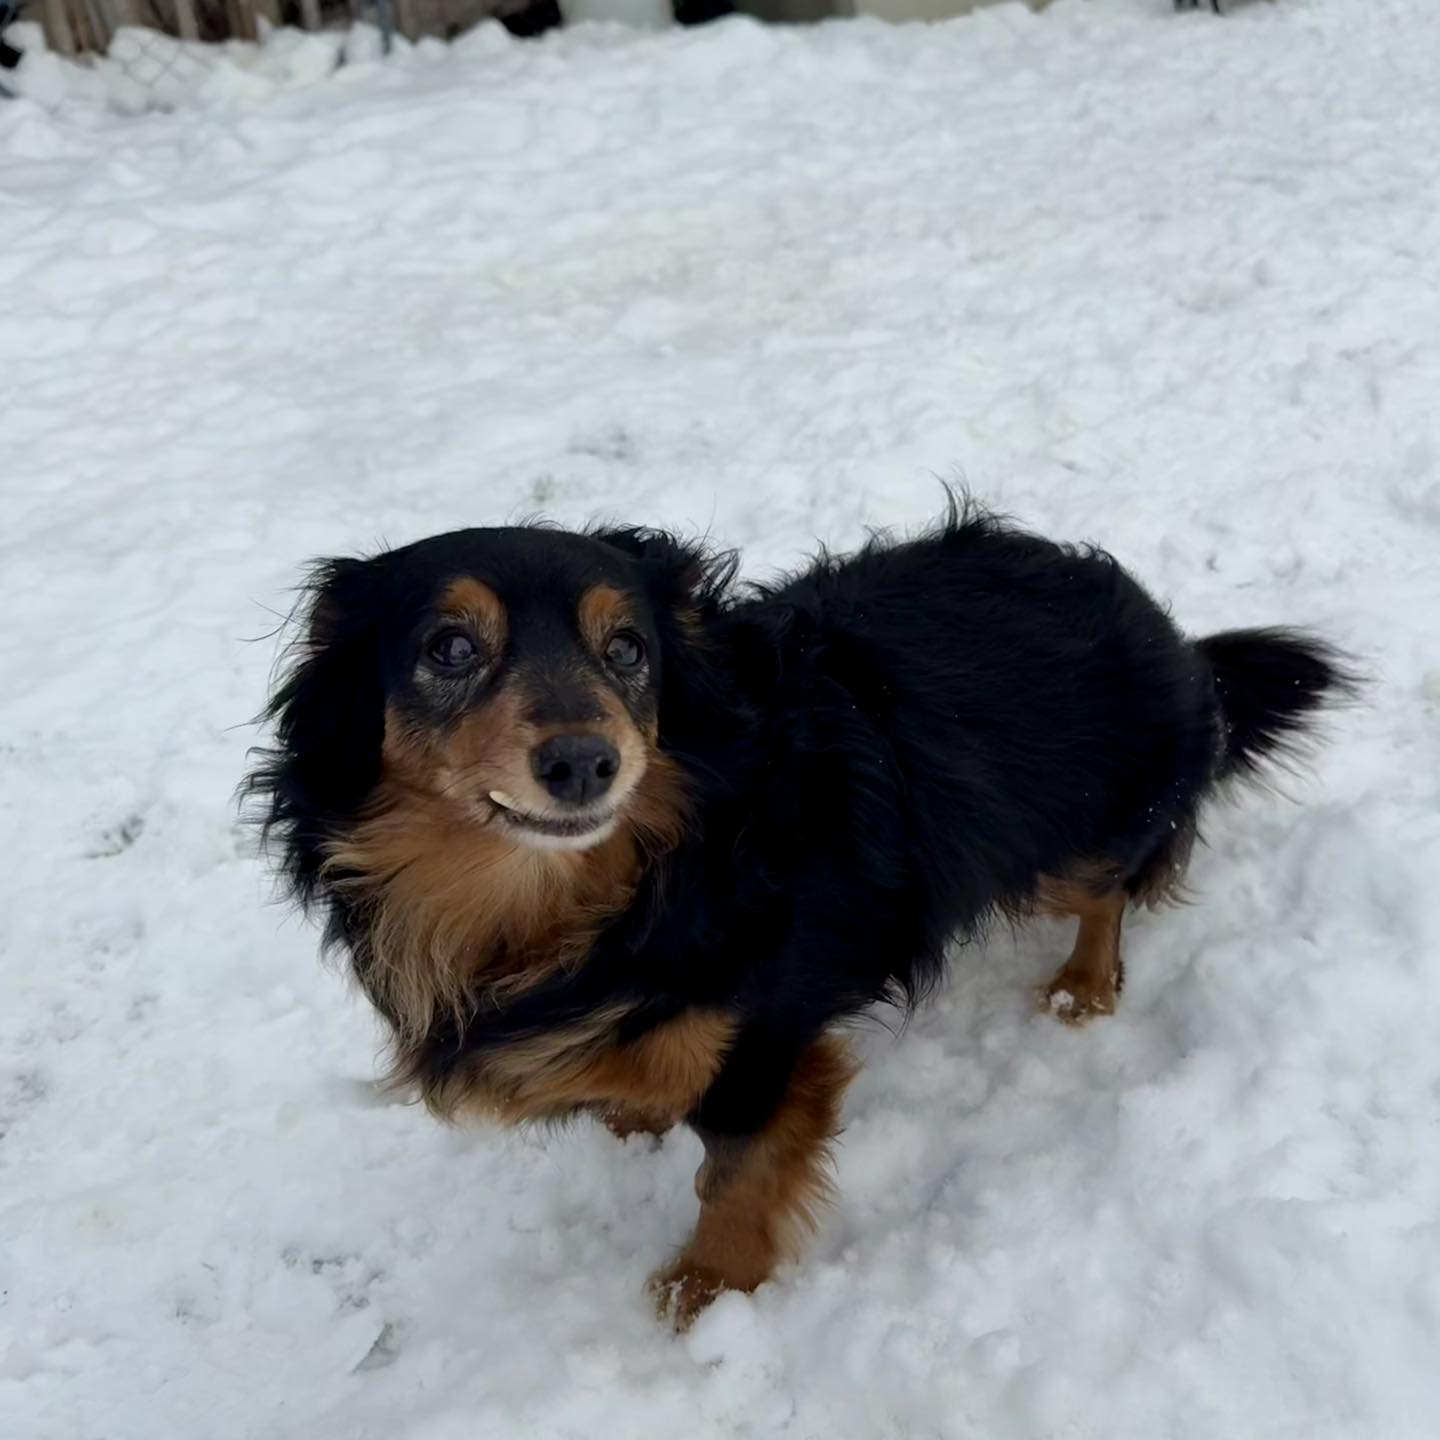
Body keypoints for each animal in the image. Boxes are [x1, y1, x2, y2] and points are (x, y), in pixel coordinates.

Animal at [246, 501, 1353, 1327]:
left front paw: (706, 1292)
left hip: (1064, 846)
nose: (585, 763)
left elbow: (734, 1178)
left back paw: (1084, 985)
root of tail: (1171, 634)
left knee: (1111, 894)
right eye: (449, 648)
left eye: (628, 649)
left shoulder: (767, 1049)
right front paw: (638, 1110)